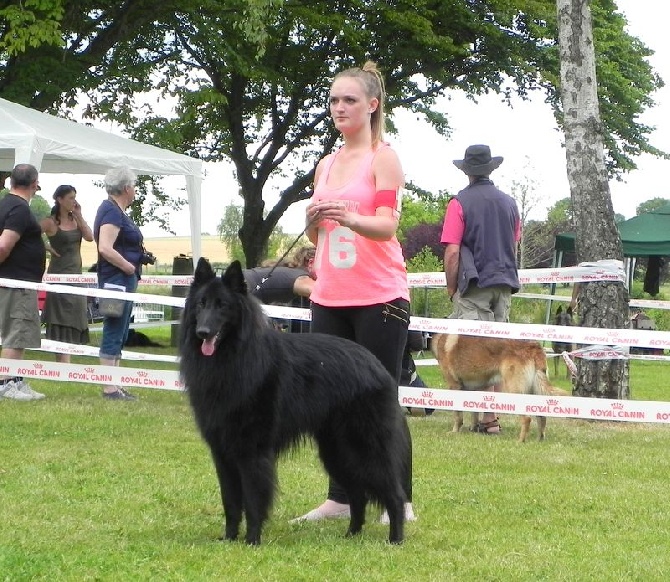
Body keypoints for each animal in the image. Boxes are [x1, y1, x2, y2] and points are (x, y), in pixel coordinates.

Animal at [180, 260, 410, 548]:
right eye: (201, 304)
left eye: (222, 305)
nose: (203, 332)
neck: (234, 357)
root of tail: (375, 364)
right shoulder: (222, 453)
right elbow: (230, 502)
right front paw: (229, 538)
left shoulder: (253, 453)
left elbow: (253, 501)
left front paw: (252, 540)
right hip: (336, 452)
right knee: (357, 494)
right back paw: (351, 535)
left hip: (366, 447)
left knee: (394, 495)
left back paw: (395, 539)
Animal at [434, 334, 568, 442]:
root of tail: (534, 346)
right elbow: (474, 413)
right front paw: (473, 428)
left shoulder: (454, 386)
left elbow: (458, 416)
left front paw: (455, 431)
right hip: (535, 391)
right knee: (542, 417)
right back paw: (539, 439)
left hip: (515, 391)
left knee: (527, 418)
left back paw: (520, 441)